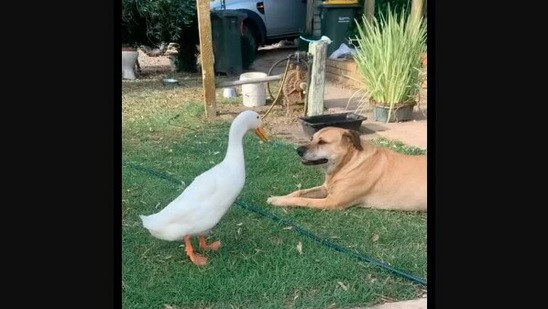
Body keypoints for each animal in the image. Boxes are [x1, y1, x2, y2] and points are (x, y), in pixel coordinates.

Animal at [266, 126, 428, 211]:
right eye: (312, 138)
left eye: (322, 142)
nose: (298, 150)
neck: (349, 162)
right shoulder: (326, 188)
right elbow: (299, 192)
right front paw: (278, 197)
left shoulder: (332, 201)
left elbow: (303, 200)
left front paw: (280, 202)